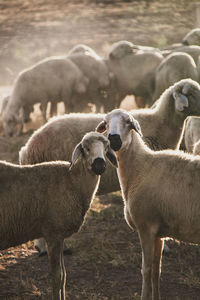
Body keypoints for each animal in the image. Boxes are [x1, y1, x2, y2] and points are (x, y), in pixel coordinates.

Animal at [0, 132, 118, 300]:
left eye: (107, 147)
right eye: (85, 148)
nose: (99, 165)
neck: (72, 180)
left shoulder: (60, 236)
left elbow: (64, 276)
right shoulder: (53, 233)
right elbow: (57, 277)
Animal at [96, 108, 200, 300]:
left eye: (128, 122)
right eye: (105, 123)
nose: (114, 139)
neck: (141, 167)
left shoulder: (146, 227)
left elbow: (146, 270)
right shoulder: (158, 233)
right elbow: (156, 271)